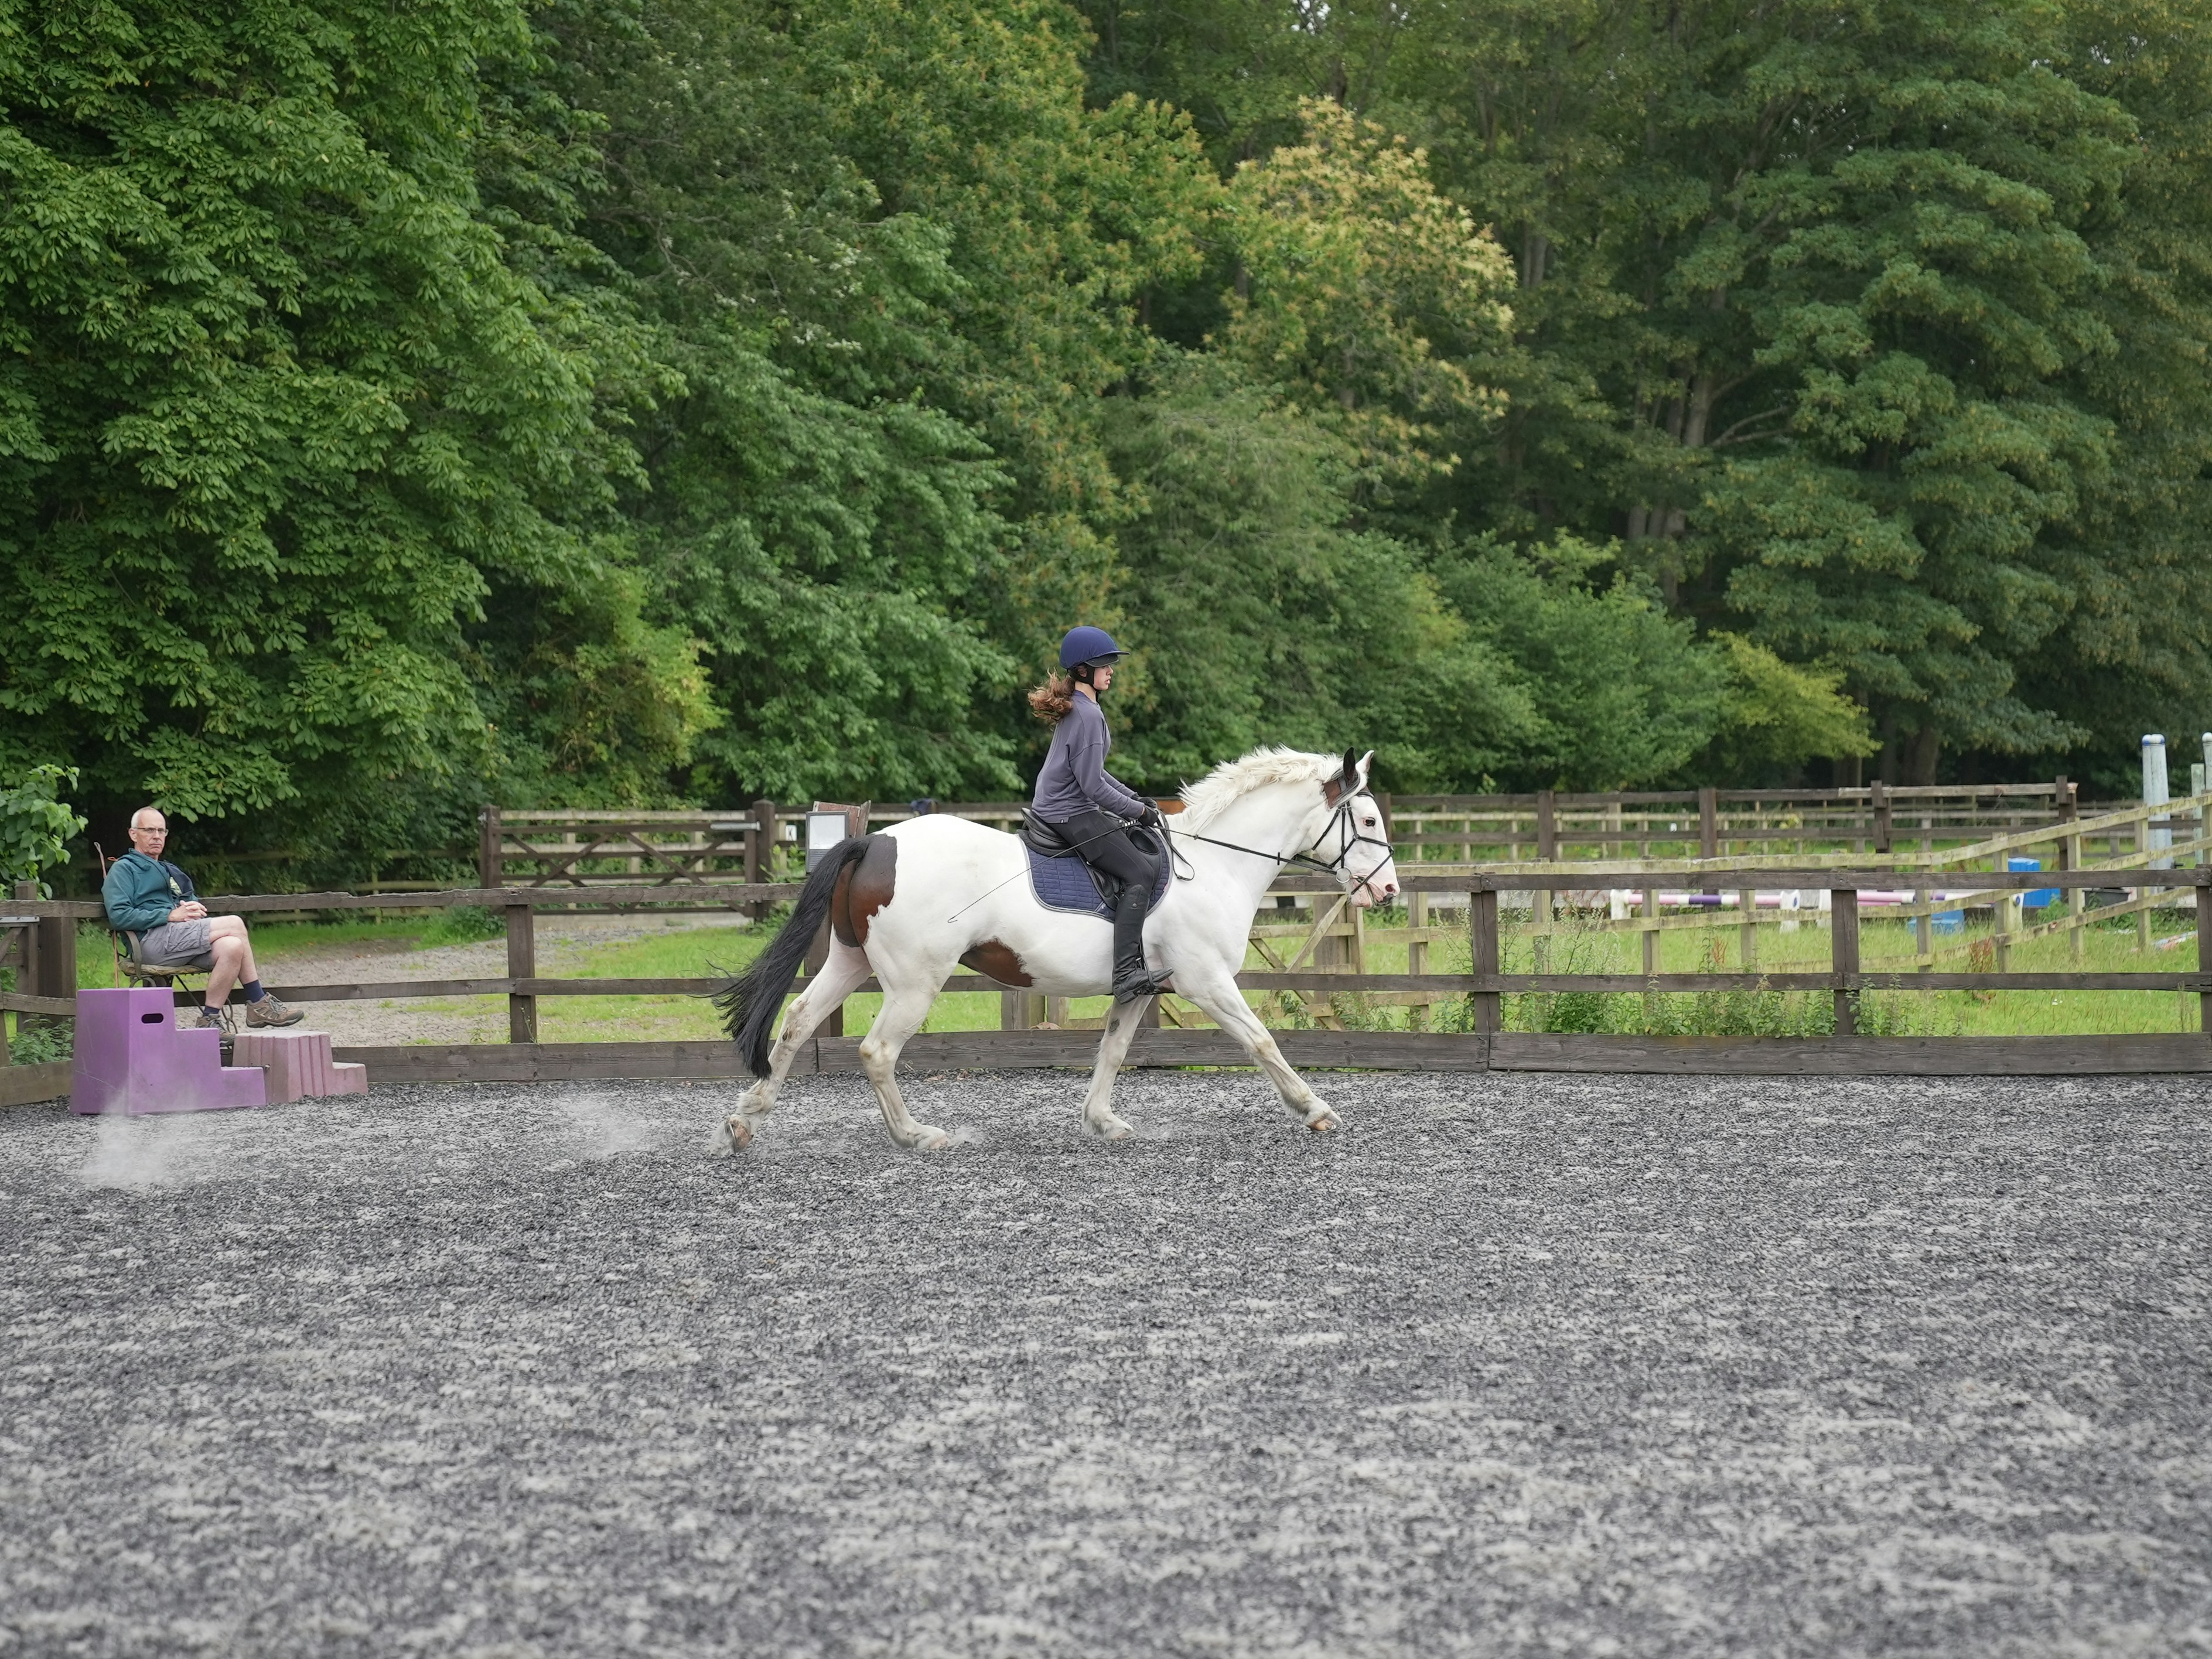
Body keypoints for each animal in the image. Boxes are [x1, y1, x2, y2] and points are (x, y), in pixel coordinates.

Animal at [710, 746, 1401, 1151]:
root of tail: (876, 841)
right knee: (877, 1051)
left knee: (798, 1021)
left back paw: (747, 1119)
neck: (1213, 863)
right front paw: (1314, 1109)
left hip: (851, 961)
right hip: (914, 981)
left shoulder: (1140, 989)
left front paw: (1102, 1121)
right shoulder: (1205, 981)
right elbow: (1261, 1041)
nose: (1390, 889)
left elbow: (1112, 1052)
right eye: (1367, 822)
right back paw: (916, 1135)